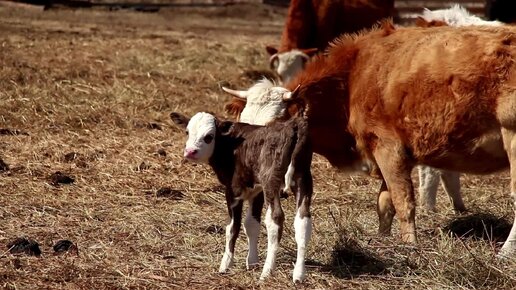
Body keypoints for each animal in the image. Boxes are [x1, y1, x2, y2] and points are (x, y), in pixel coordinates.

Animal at [171, 112, 312, 282]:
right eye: (187, 132)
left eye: (209, 136)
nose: (190, 151)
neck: (230, 145)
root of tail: (293, 125)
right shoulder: (256, 190)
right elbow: (251, 224)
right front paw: (252, 261)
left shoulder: (233, 191)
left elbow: (233, 227)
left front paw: (226, 264)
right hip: (303, 179)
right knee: (303, 220)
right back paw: (299, 274)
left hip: (271, 180)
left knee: (275, 218)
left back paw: (267, 271)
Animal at [225, 23, 516, 258]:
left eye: (275, 127)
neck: (353, 77)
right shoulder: (381, 152)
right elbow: (384, 203)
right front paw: (382, 240)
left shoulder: (389, 148)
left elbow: (402, 200)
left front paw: (410, 245)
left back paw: (505, 253)